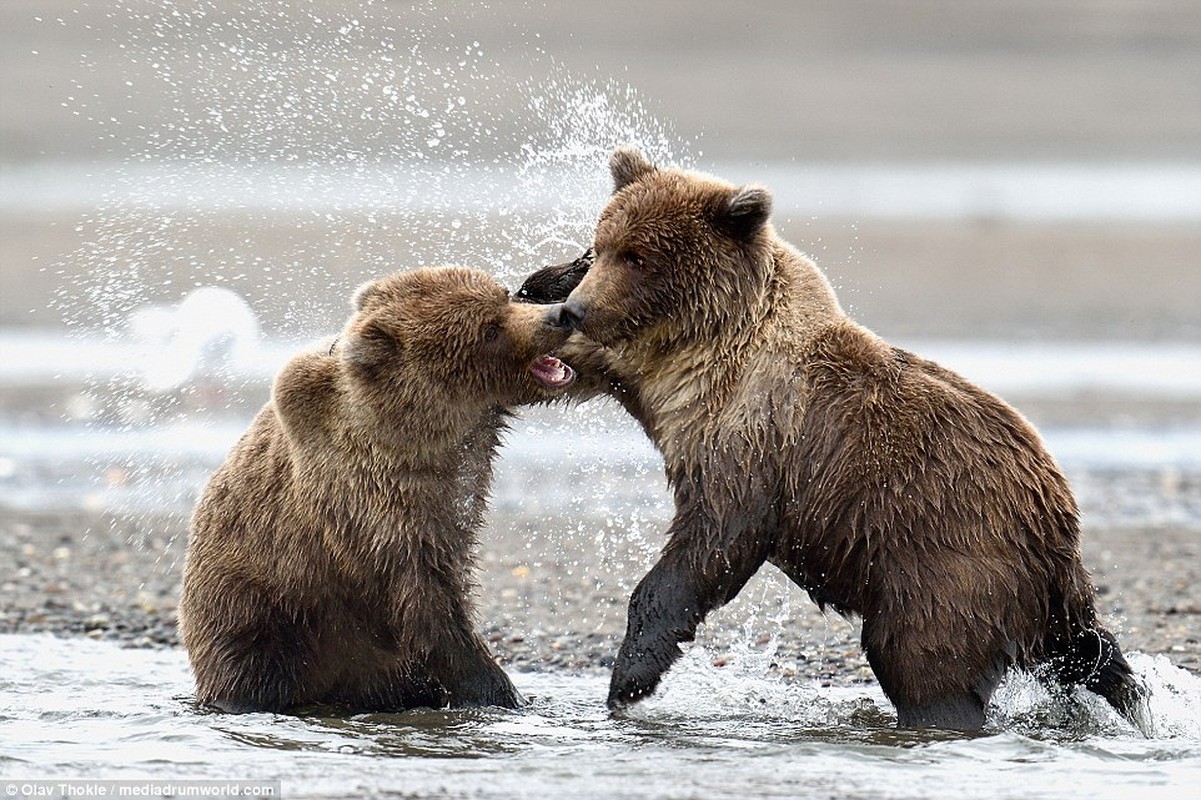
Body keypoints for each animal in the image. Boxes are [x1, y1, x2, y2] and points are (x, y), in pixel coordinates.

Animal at [175, 264, 574, 711]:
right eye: (488, 329)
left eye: (503, 296)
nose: (556, 318)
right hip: (261, 614)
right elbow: (428, 608)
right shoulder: (376, 512)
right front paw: (503, 692)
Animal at [521, 147, 1148, 730]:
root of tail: (1055, 516)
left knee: (923, 661)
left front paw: (630, 678)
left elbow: (714, 538)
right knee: (1088, 652)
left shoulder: (751, 432)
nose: (575, 308)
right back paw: (1133, 703)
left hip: (947, 561)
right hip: (1033, 593)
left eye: (637, 256)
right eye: (599, 246)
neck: (700, 349)